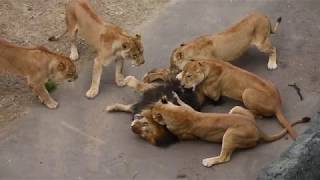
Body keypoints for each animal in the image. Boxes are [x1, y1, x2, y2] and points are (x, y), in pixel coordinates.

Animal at [142, 11, 280, 83]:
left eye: (172, 64)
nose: (170, 69)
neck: (191, 49)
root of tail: (263, 15)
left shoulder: (215, 62)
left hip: (261, 44)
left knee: (273, 49)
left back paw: (272, 64)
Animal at [146, 94, 308, 167]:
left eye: (153, 112)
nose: (150, 108)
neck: (170, 112)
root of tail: (258, 129)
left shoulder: (185, 135)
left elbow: (173, 132)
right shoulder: (188, 109)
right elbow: (184, 103)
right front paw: (175, 96)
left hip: (229, 134)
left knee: (225, 157)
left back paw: (208, 161)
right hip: (236, 109)